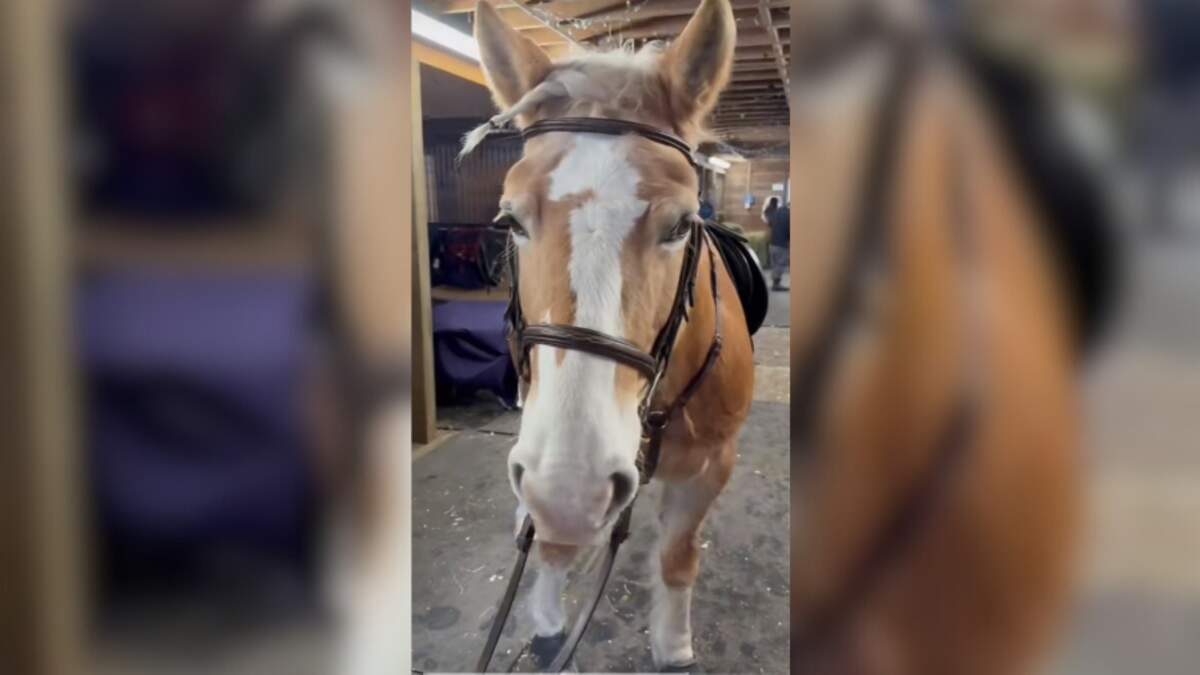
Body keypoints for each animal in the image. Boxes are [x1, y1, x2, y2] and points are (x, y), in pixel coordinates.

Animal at [465, 0, 748, 662]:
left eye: (682, 225)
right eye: (509, 220)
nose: (575, 491)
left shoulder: (710, 467)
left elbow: (677, 558)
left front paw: (673, 647)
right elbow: (547, 541)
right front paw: (546, 624)